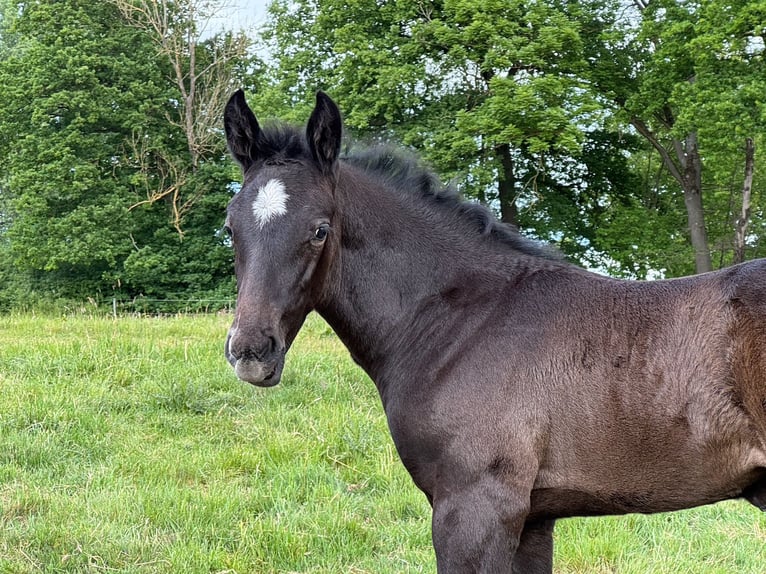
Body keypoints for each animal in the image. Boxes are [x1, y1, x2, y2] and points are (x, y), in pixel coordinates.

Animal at [221, 89, 766, 573]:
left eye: (319, 230)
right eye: (230, 228)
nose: (252, 351)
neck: (459, 321)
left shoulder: (475, 508)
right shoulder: (535, 517)